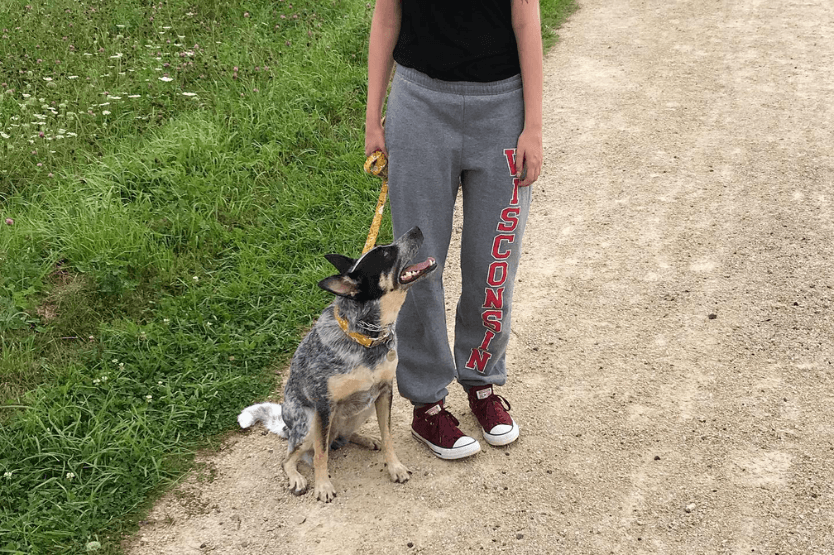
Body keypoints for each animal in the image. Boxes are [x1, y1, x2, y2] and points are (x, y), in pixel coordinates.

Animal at [236, 227, 436, 504]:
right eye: (386, 253)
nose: (416, 229)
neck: (366, 339)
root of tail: (288, 427)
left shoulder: (385, 392)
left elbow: (388, 436)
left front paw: (394, 467)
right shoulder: (323, 404)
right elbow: (321, 455)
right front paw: (323, 486)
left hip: (363, 408)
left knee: (344, 436)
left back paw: (365, 439)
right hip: (308, 424)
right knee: (291, 457)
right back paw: (297, 477)